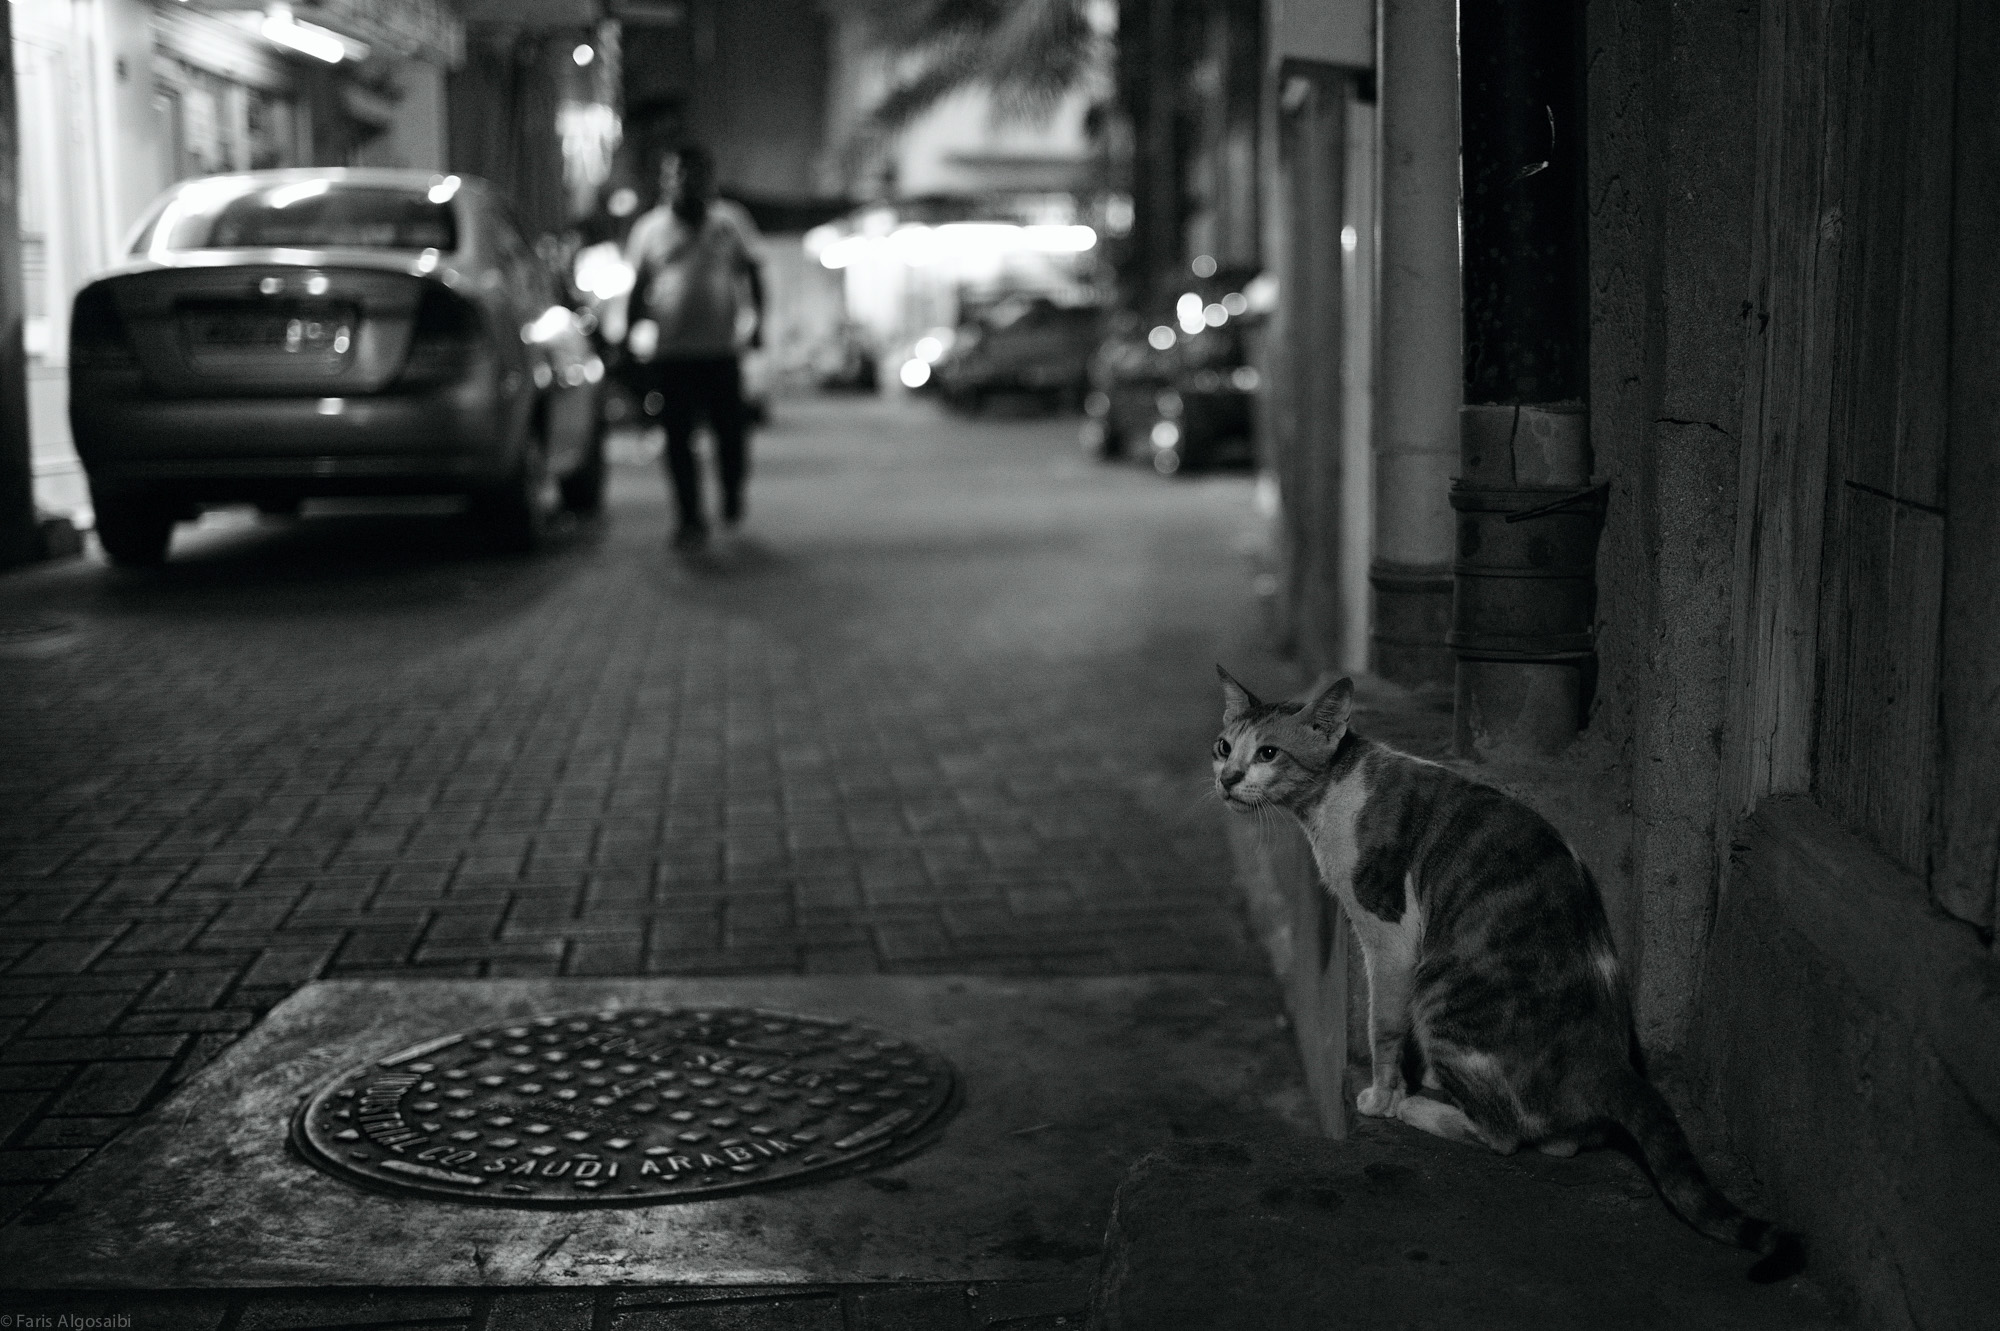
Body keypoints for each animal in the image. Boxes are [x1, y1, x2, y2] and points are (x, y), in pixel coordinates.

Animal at [1208, 667, 1808, 1279]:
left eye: (1269, 753)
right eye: (1225, 746)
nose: (1227, 778)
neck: (1333, 792)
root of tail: (1606, 1058)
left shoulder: (1389, 936)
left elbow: (1383, 1027)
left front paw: (1382, 1094)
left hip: (1438, 988)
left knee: (1501, 1135)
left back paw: (1416, 1106)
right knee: (1560, 1137)